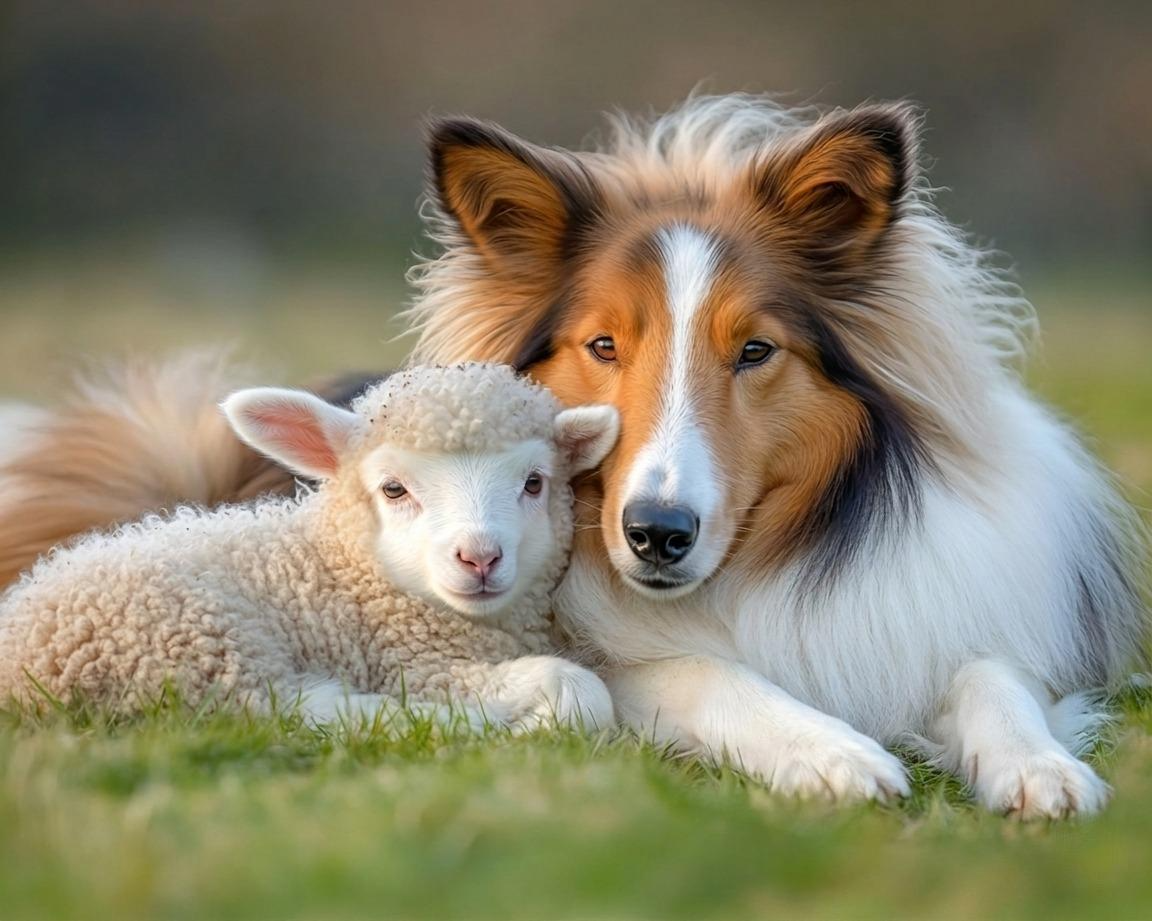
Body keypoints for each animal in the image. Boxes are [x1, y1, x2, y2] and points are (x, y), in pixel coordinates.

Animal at [0, 362, 620, 729]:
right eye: (393, 489)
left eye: (534, 483)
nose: (480, 558)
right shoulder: (421, 666)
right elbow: (581, 691)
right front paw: (528, 720)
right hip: (198, 650)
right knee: (293, 709)